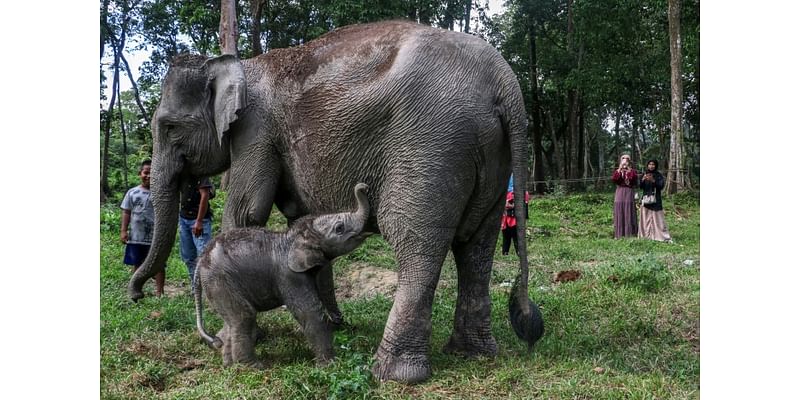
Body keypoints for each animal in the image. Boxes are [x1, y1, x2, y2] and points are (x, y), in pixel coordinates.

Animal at [195, 183, 370, 368]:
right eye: (339, 228)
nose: (363, 186)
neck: (293, 236)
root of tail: (200, 261)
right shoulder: (289, 276)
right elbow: (311, 312)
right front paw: (330, 365)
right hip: (220, 281)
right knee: (244, 316)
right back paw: (253, 367)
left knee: (231, 321)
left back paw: (229, 364)